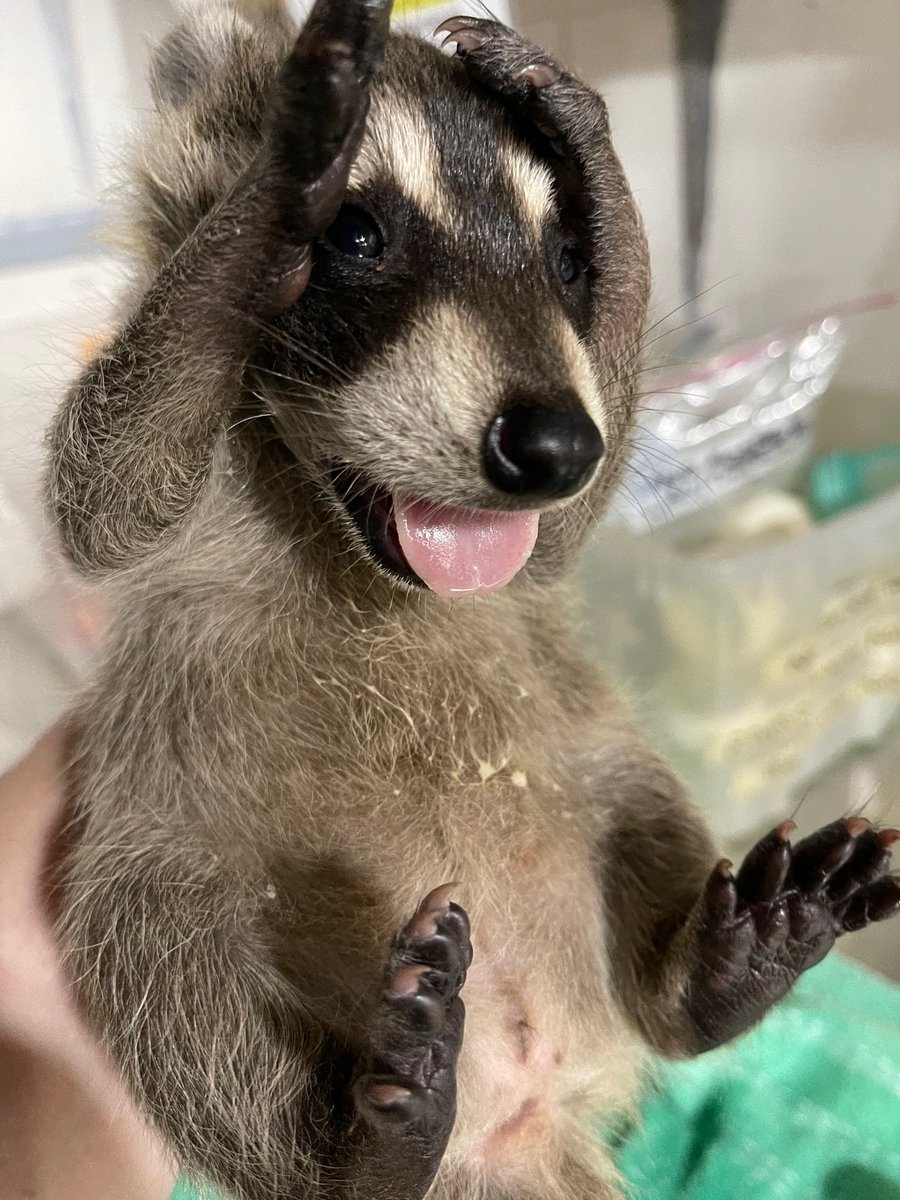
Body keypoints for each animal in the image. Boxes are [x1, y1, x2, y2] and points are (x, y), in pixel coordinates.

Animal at [45, 2, 900, 1199]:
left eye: (568, 260)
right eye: (356, 236)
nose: (550, 447)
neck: (340, 535)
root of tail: (514, 1112)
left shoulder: (539, 533)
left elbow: (565, 530)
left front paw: (605, 172)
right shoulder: (149, 479)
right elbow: (110, 483)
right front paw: (267, 201)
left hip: (589, 750)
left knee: (638, 796)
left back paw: (704, 976)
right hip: (164, 842)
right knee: (160, 956)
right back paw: (356, 1149)